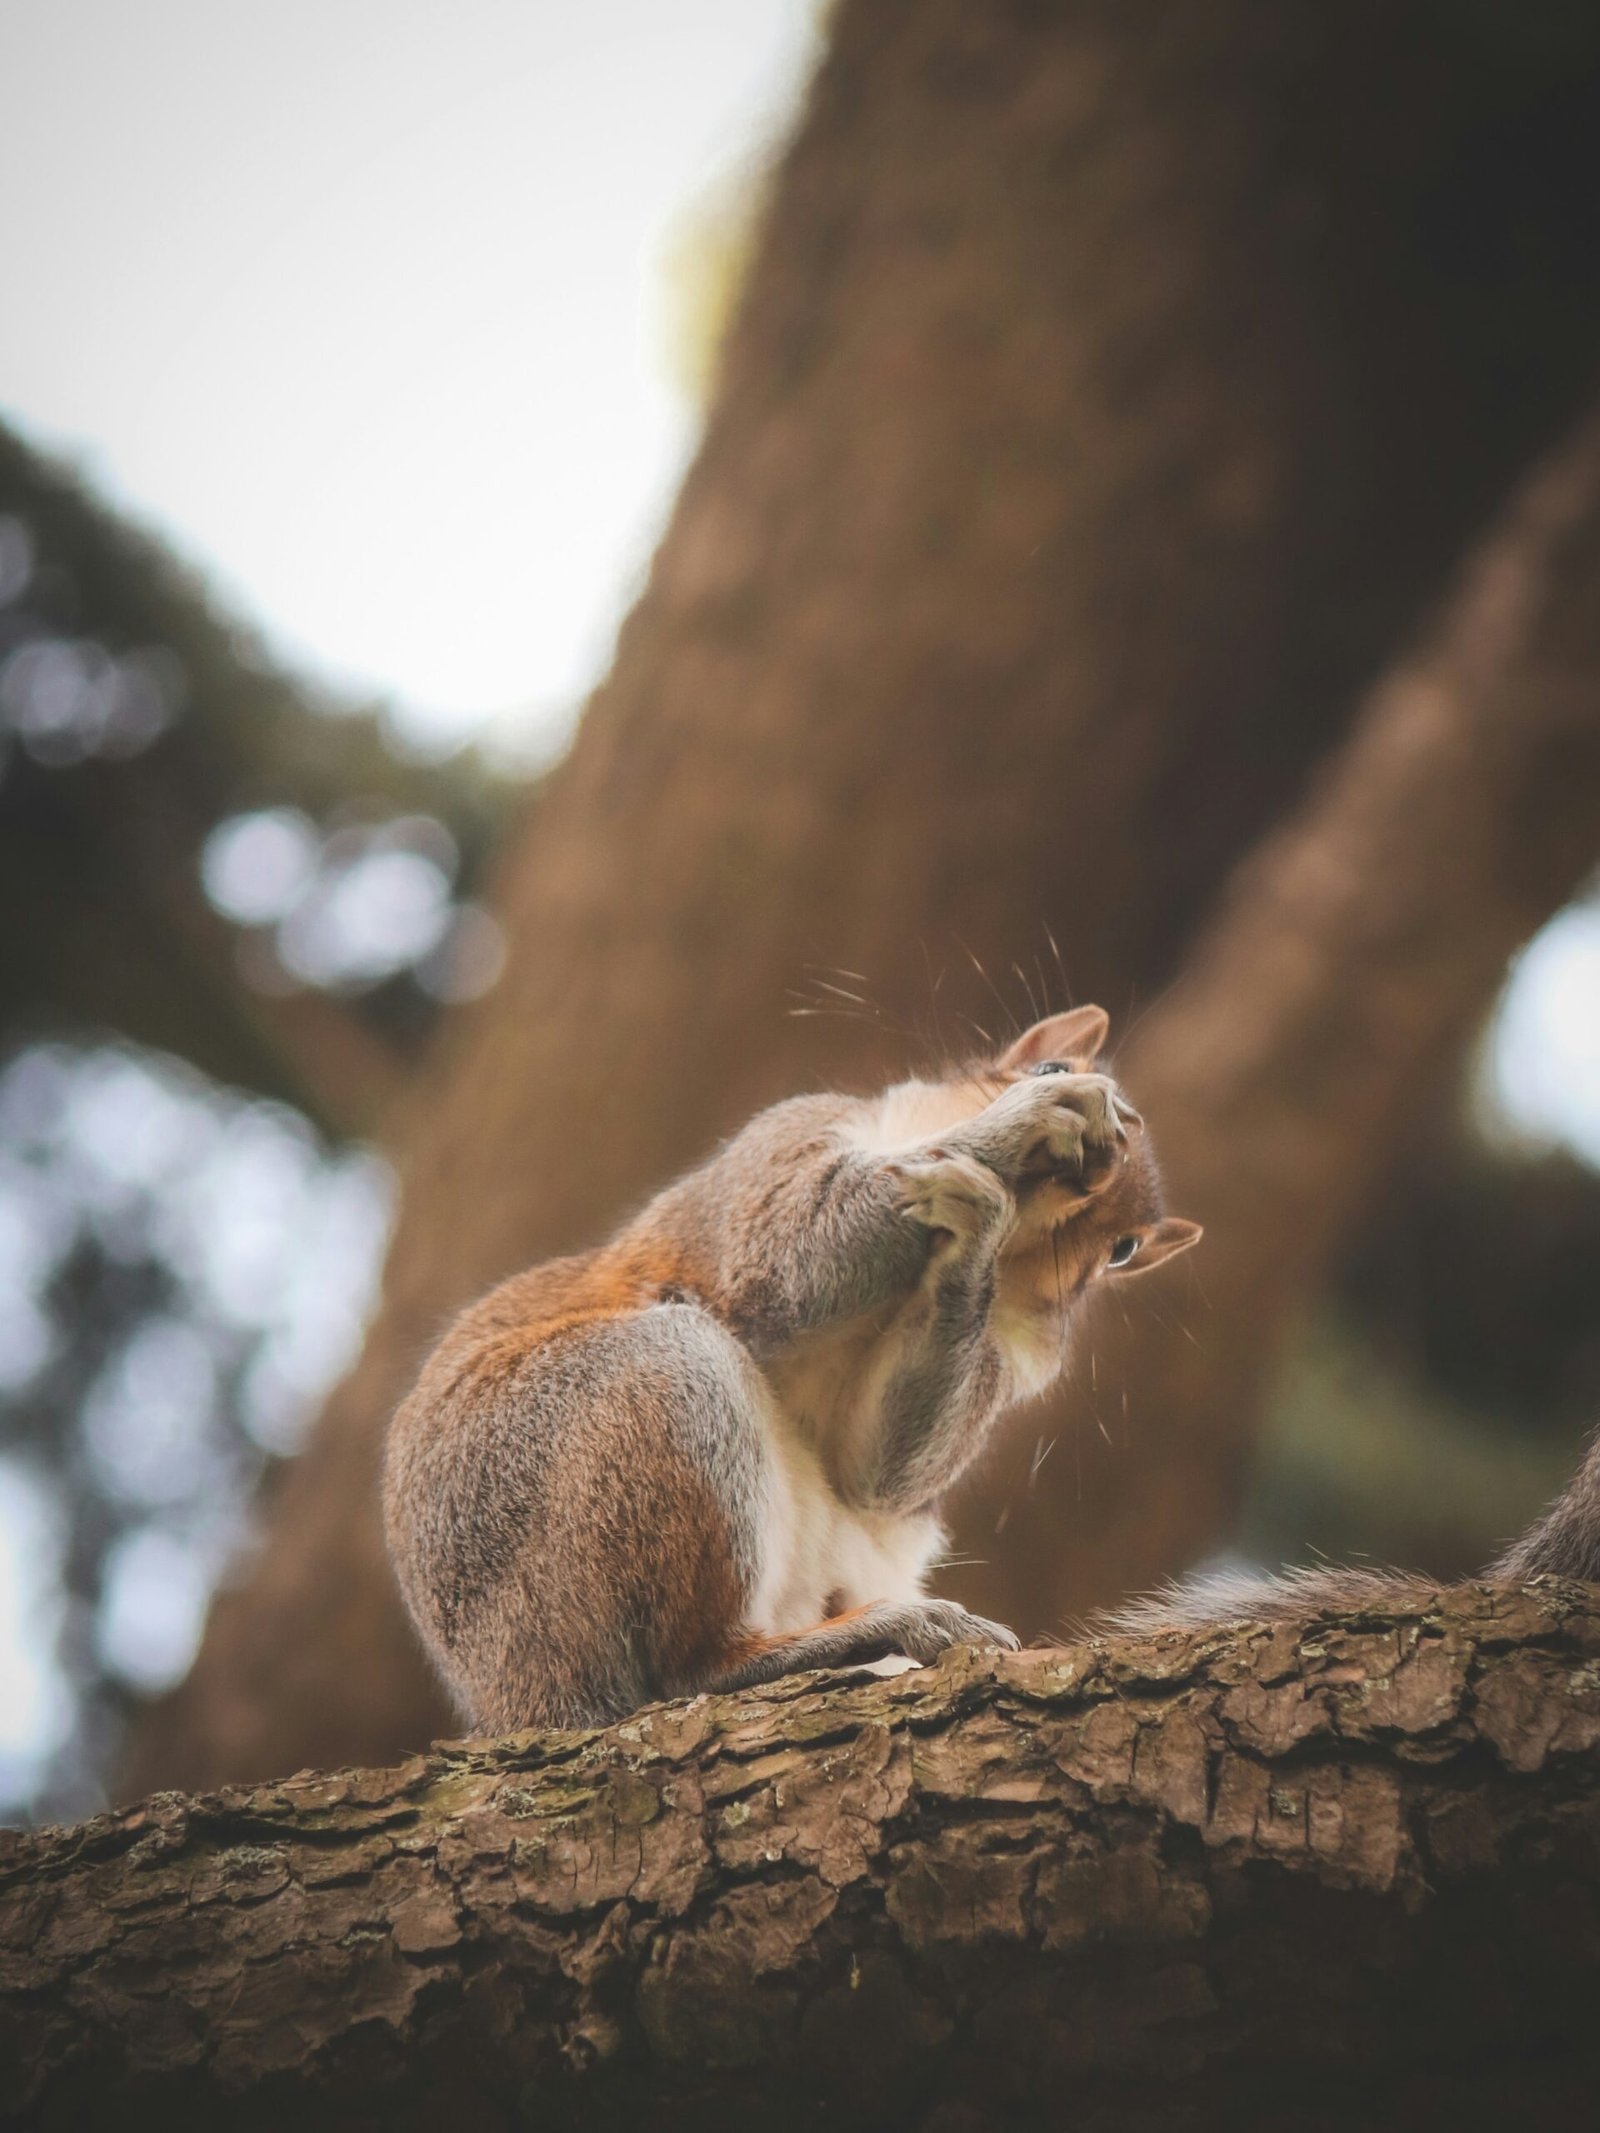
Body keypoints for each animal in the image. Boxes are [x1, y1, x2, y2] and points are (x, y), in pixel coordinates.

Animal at [386, 1002, 1203, 1731]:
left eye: (1123, 1248)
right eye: (1051, 1065)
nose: (1096, 1171)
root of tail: (516, 1694)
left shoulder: (1003, 1356)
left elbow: (879, 1475)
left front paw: (982, 1226)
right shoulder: (782, 1141)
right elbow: (784, 1250)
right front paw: (1020, 1124)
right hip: (648, 1394)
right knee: (691, 1668)